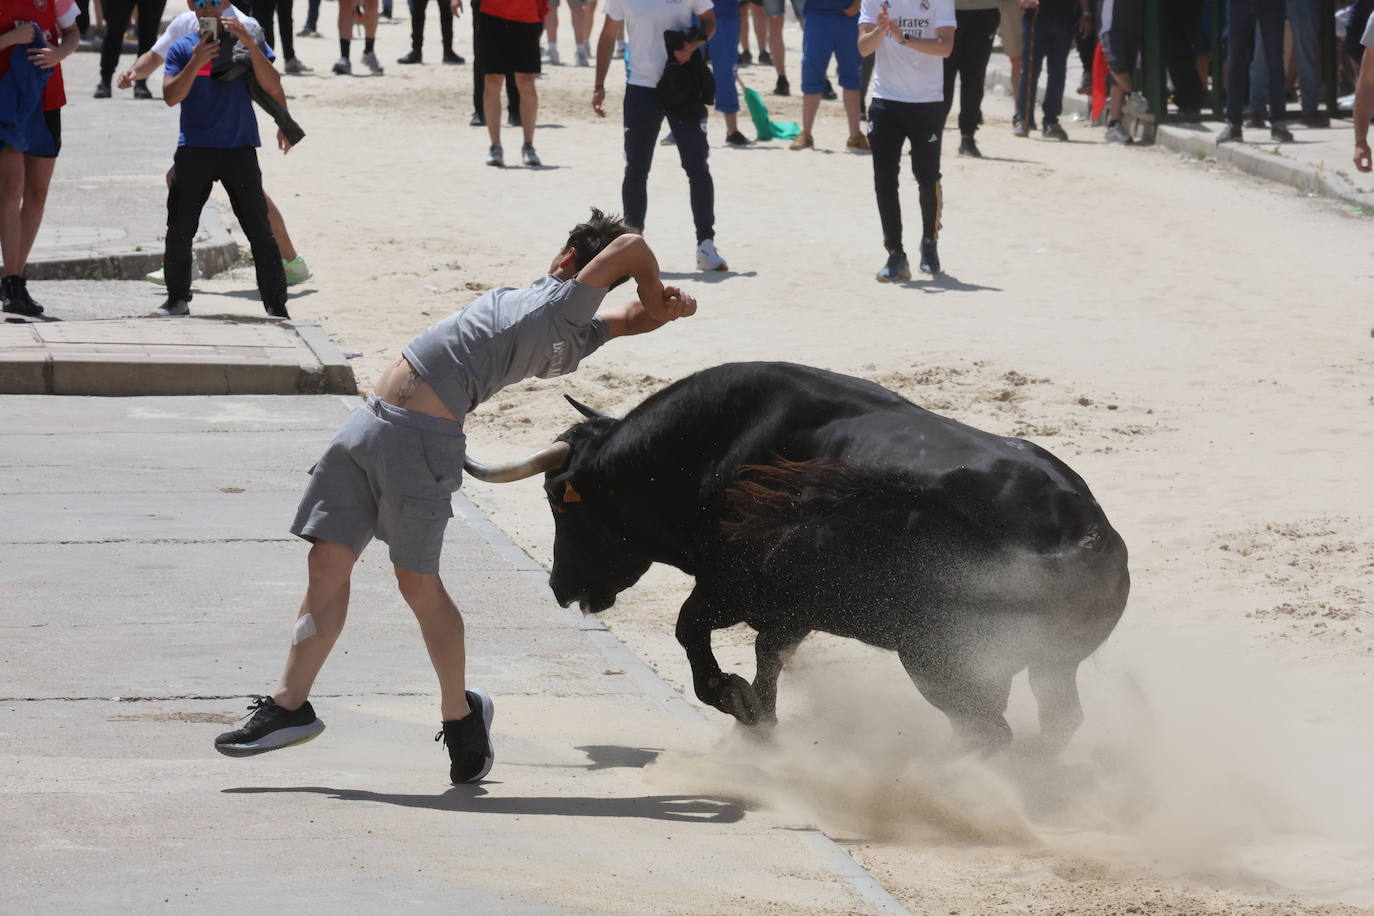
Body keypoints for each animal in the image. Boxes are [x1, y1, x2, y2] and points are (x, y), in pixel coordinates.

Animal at [464, 362, 1126, 758]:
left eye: (558, 498)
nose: (561, 587)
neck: (711, 451)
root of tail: (1082, 529)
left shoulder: (728, 588)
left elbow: (693, 635)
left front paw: (738, 703)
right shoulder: (791, 611)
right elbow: (768, 657)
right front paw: (761, 719)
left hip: (941, 661)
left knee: (990, 732)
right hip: (1045, 666)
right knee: (1054, 721)